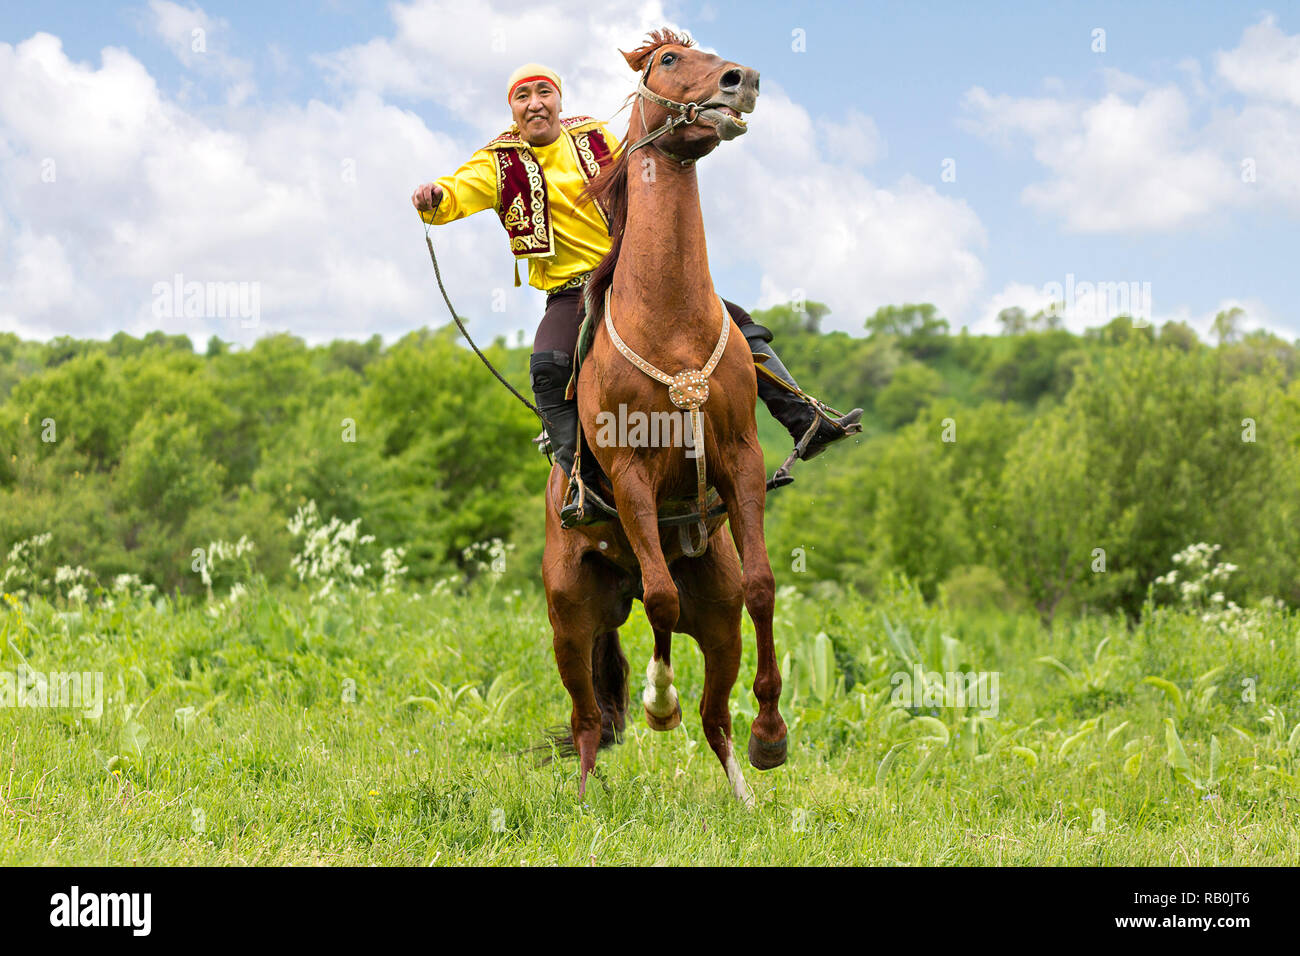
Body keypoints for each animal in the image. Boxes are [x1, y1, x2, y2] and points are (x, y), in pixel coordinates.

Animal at [538, 27, 780, 806]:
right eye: (669, 61)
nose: (743, 79)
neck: (669, 318)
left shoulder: (739, 456)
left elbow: (763, 587)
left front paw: (773, 734)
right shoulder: (630, 473)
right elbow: (663, 600)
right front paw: (657, 700)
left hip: (717, 620)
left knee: (716, 716)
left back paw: (745, 790)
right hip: (570, 621)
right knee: (589, 716)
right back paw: (585, 799)